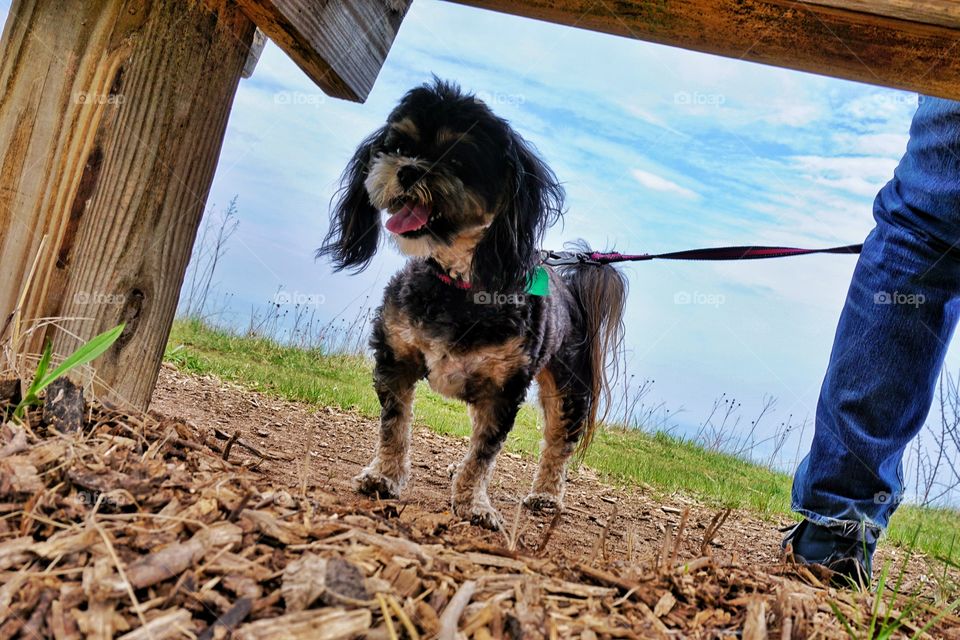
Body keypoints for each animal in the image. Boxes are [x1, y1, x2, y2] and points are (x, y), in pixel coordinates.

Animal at [318, 80, 628, 528]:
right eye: (398, 145)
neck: (459, 284)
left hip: (568, 387)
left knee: (557, 444)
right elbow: (395, 426)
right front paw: (384, 476)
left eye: (458, 158)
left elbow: (484, 453)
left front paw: (472, 504)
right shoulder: (396, 357)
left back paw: (546, 495)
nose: (408, 170)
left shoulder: (503, 389)